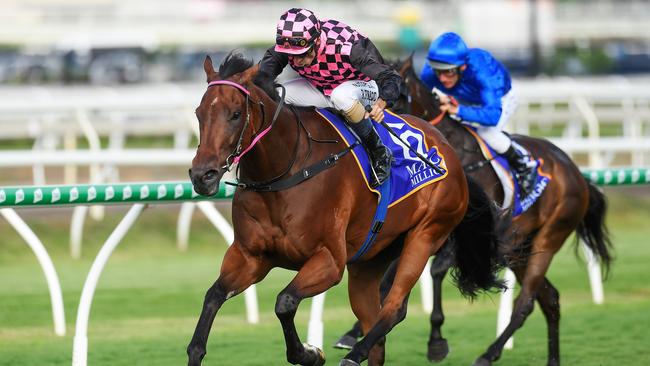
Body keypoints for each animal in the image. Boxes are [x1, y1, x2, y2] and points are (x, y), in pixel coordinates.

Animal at [185, 53, 504, 366]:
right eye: (199, 113)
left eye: (235, 114)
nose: (203, 175)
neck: (285, 171)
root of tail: (450, 151)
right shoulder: (249, 257)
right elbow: (213, 297)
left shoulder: (329, 261)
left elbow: (285, 302)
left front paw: (311, 353)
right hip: (370, 259)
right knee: (376, 326)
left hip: (426, 234)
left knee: (394, 308)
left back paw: (357, 355)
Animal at [384, 55, 612, 364]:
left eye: (396, 97)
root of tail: (577, 174)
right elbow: (393, 272)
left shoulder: (466, 234)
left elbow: (436, 270)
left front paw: (436, 341)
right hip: (517, 248)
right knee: (550, 298)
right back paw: (551, 359)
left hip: (548, 236)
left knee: (526, 301)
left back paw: (489, 353)